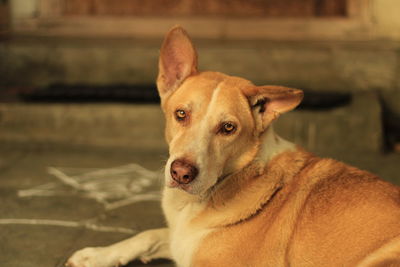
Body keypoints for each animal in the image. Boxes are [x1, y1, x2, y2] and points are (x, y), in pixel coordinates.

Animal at [66, 25, 400, 267]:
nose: (181, 173)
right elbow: (150, 234)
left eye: (228, 128)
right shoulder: (182, 241)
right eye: (181, 114)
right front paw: (97, 255)